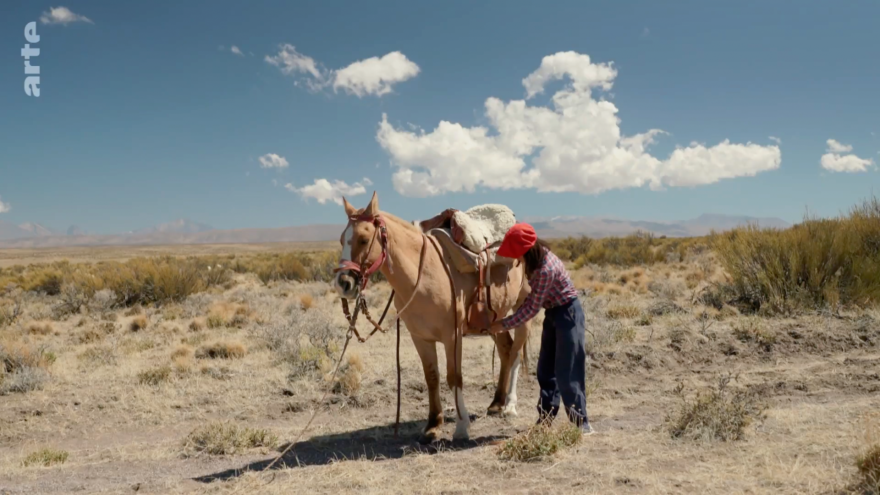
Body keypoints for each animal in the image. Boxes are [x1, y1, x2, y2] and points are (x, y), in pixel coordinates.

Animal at [333, 191, 531, 443]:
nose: (343, 284)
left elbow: (454, 377)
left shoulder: (452, 336)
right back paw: (497, 403)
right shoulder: (420, 337)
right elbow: (432, 377)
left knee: (515, 353)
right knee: (506, 350)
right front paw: (432, 425)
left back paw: (510, 406)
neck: (423, 273)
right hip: (496, 318)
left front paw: (461, 427)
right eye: (341, 239)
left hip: (522, 309)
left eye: (364, 239)